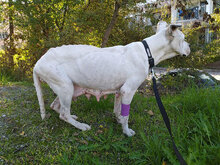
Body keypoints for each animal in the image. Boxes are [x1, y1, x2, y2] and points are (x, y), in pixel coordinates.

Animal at [33, 22, 190, 137]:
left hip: (66, 88)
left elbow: (119, 110)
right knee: (63, 114)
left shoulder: (120, 91)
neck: (148, 51)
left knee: (56, 107)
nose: (190, 47)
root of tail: (38, 63)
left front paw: (119, 120)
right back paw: (81, 126)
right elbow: (126, 115)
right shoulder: (128, 91)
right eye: (183, 39)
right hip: (66, 87)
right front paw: (126, 132)